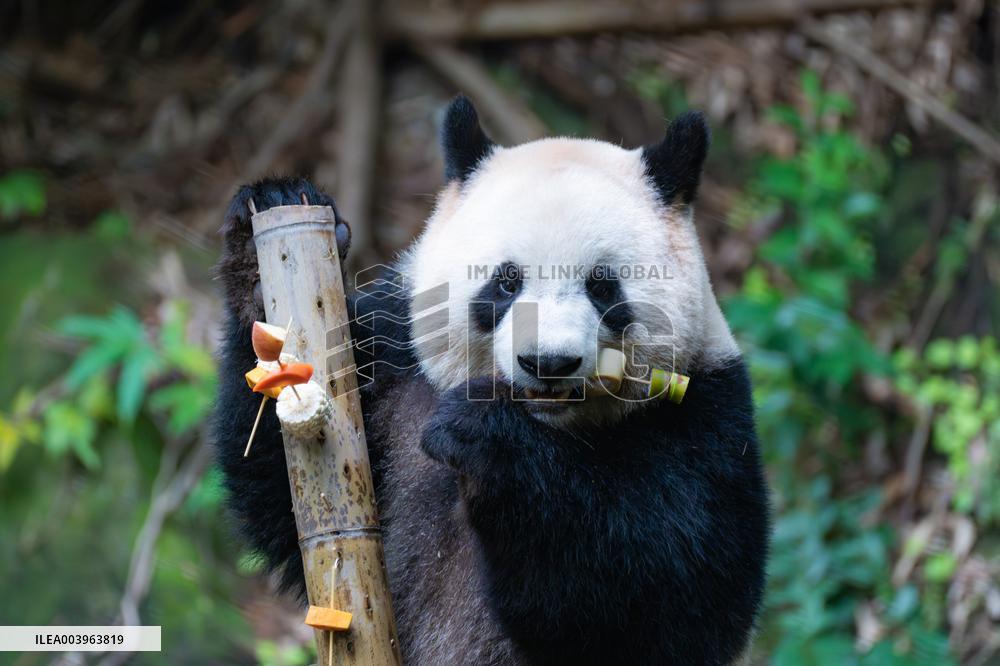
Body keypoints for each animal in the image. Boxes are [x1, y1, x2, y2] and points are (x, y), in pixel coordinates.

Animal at [213, 95, 770, 665]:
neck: (551, 426)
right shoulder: (391, 356)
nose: (549, 362)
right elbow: (288, 507)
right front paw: (265, 223)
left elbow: (669, 603)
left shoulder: (702, 421)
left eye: (602, 286)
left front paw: (487, 438)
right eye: (505, 282)